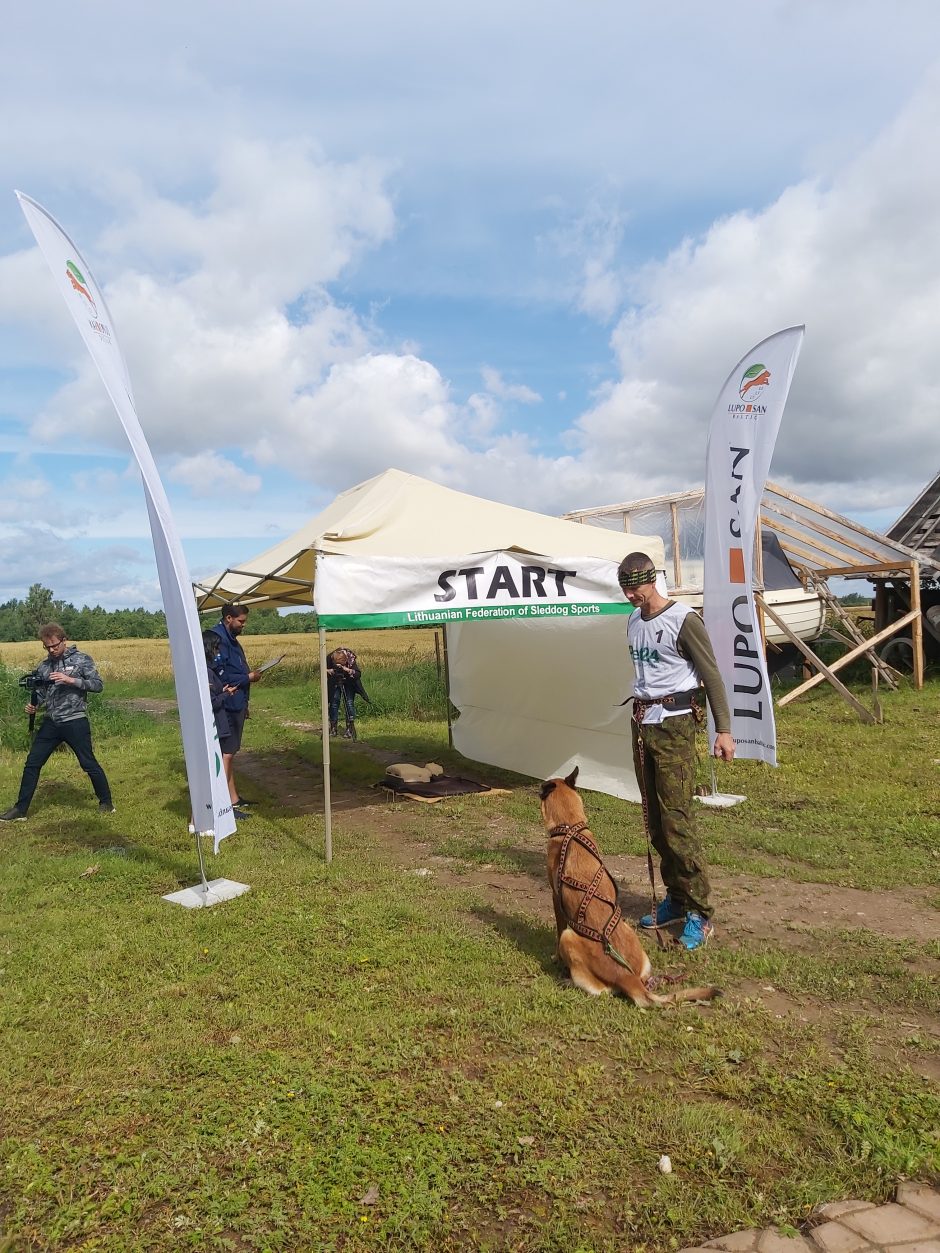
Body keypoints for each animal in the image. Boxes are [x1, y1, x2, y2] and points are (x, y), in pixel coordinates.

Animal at [541, 761, 726, 1007]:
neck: (570, 826)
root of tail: (628, 978)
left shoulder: (555, 898)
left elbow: (558, 928)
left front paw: (554, 958)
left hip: (569, 938)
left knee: (600, 991)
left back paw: (568, 981)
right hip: (630, 935)